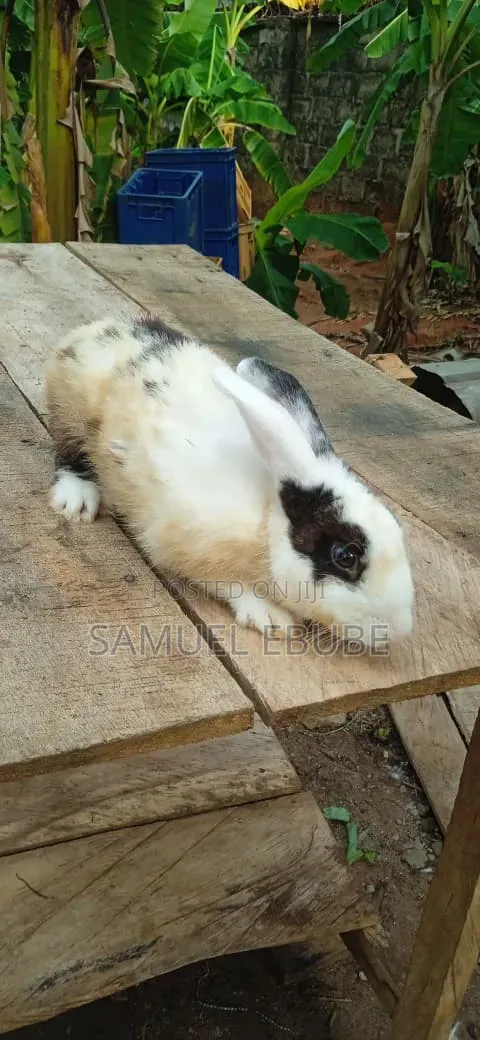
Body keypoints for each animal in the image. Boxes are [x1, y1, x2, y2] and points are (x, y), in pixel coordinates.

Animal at [44, 312, 415, 646]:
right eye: (344, 556)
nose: (400, 629)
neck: (265, 519)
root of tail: (93, 329)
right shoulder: (189, 542)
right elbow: (230, 583)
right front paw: (271, 617)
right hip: (71, 411)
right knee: (68, 453)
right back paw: (77, 499)